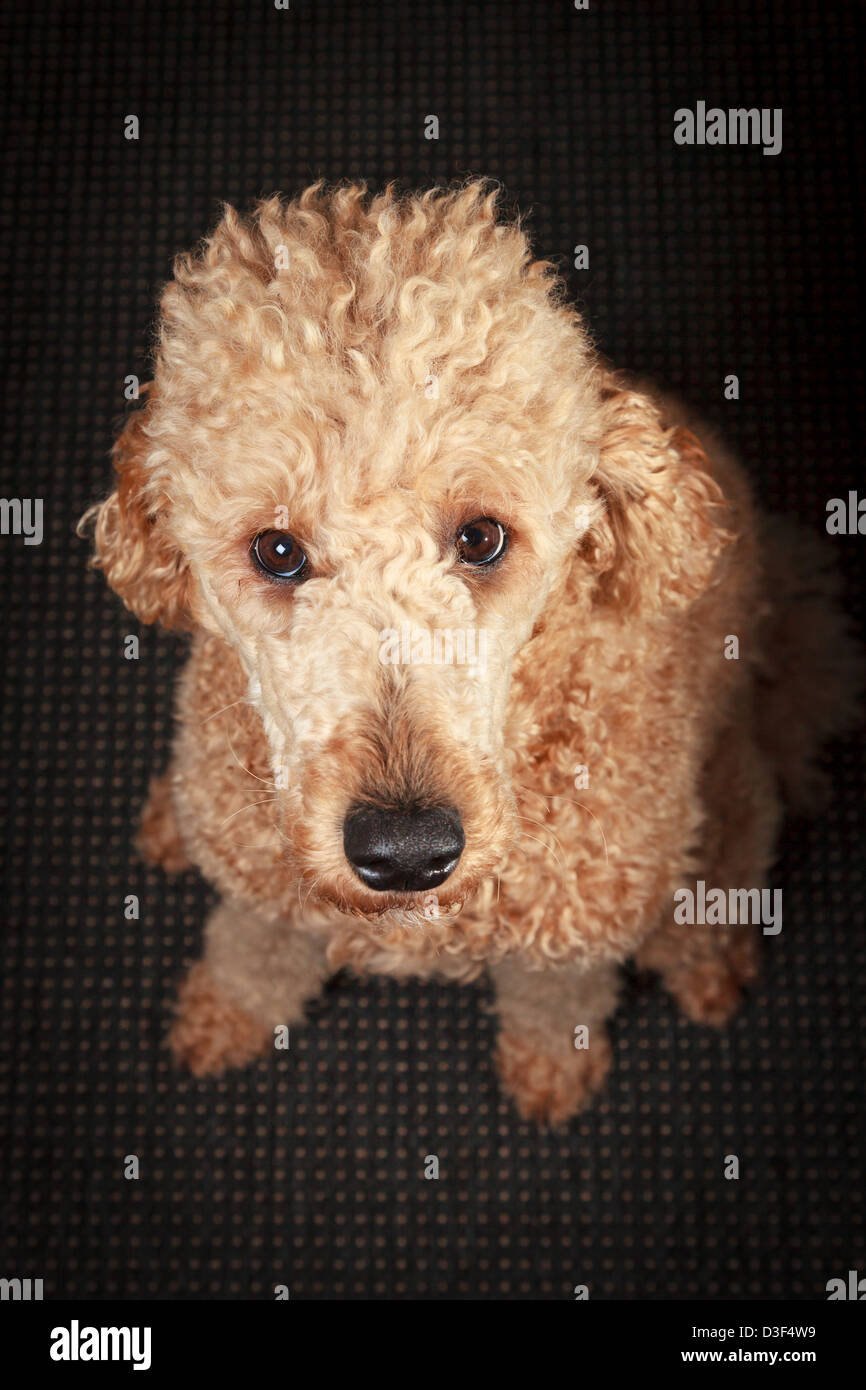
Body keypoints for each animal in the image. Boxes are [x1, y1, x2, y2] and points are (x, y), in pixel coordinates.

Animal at [83, 179, 861, 1123]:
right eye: (276, 550)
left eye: (482, 538)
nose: (406, 850)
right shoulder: (262, 899)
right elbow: (252, 954)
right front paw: (223, 1015)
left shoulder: (572, 932)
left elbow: (554, 1002)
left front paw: (551, 1072)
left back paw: (713, 966)